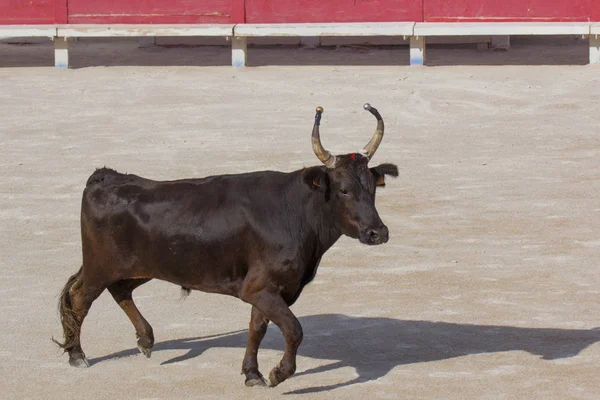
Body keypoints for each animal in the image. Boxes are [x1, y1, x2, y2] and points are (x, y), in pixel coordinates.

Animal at [55, 104, 398, 386]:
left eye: (373, 188)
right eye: (343, 189)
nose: (377, 233)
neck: (295, 211)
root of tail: (105, 177)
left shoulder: (266, 289)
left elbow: (257, 327)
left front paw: (252, 373)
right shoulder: (260, 288)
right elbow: (293, 329)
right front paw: (278, 373)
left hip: (138, 267)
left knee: (120, 291)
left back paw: (145, 340)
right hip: (100, 266)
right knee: (79, 299)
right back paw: (78, 355)